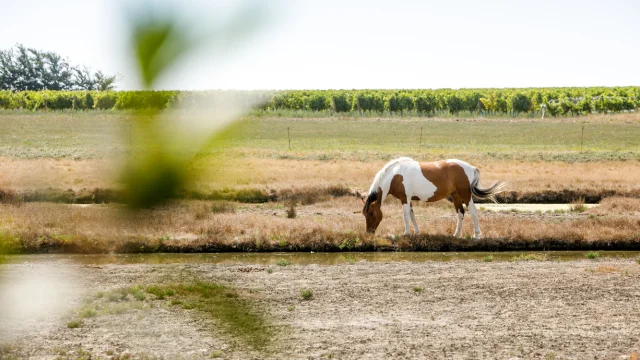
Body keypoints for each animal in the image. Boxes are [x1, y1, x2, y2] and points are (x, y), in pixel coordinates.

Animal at [360, 158, 504, 239]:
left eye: (371, 213)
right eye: (364, 214)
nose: (369, 233)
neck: (395, 175)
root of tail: (470, 167)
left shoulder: (405, 198)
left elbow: (406, 216)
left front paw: (406, 233)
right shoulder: (408, 199)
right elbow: (412, 215)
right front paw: (416, 232)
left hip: (465, 195)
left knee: (473, 212)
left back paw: (476, 235)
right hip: (456, 195)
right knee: (460, 213)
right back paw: (456, 235)